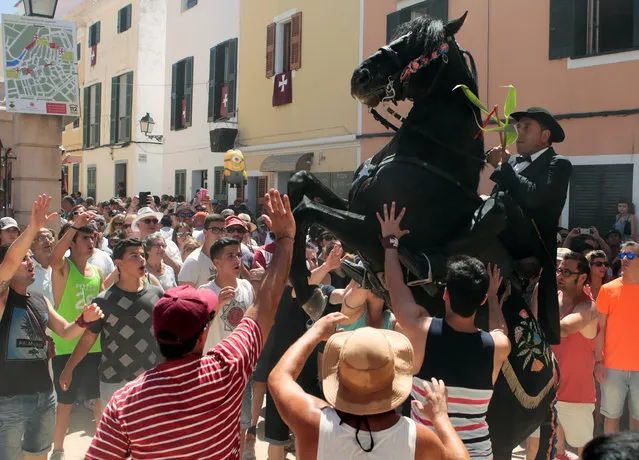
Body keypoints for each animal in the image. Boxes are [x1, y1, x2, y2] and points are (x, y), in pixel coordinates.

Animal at [288, 12, 556, 458]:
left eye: (420, 44)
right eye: (400, 32)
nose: (361, 76)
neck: (428, 156)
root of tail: (551, 390)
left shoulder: (374, 233)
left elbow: (307, 210)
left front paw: (307, 291)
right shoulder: (356, 209)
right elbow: (300, 185)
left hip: (498, 433)